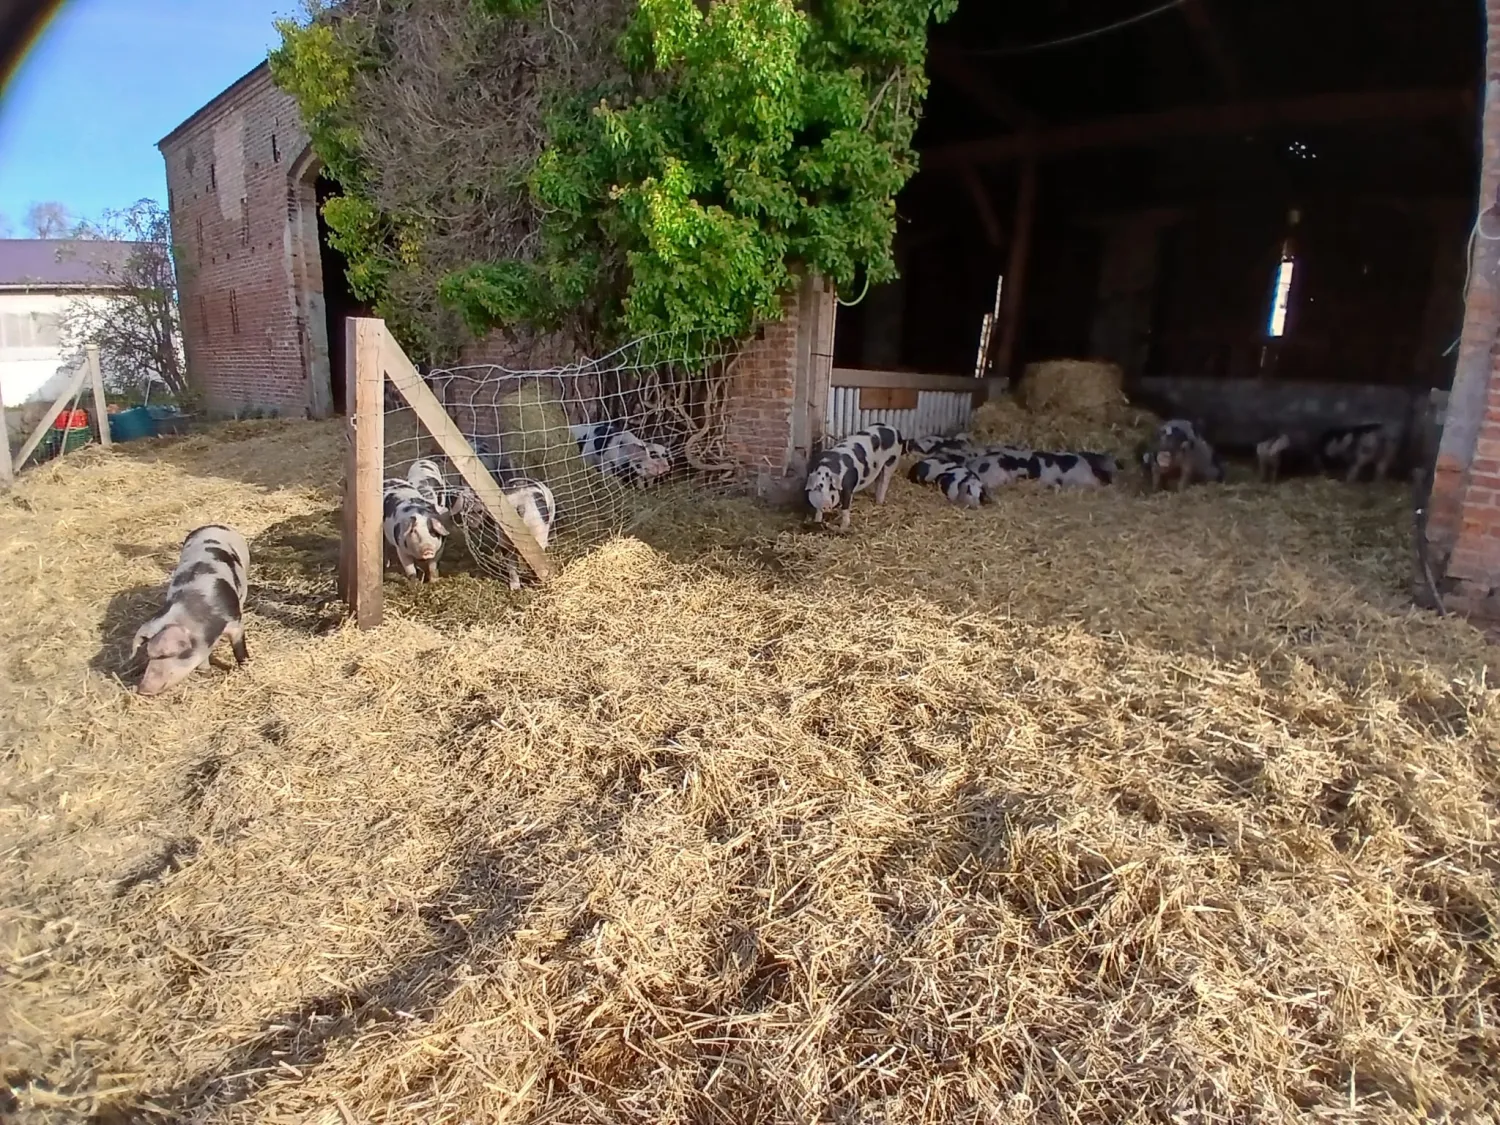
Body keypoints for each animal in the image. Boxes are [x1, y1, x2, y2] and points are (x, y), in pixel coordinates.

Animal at [132, 524, 251, 697]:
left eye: (166, 654)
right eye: (149, 653)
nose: (142, 690)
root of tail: (212, 525)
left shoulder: (235, 623)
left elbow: (239, 649)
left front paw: (246, 666)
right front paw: (208, 675)